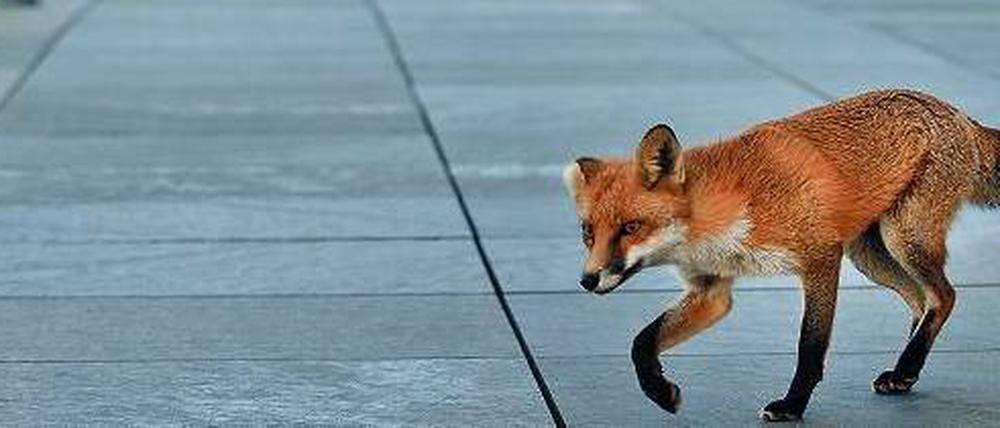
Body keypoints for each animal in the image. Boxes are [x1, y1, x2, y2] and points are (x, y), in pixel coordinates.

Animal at [562, 89, 1000, 421]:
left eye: (630, 228)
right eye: (588, 232)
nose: (587, 280)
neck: (724, 213)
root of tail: (956, 112)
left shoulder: (821, 256)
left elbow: (810, 346)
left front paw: (792, 406)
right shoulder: (711, 292)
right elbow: (642, 342)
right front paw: (660, 392)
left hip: (901, 240)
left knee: (943, 297)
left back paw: (908, 365)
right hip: (870, 256)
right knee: (920, 302)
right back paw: (905, 371)